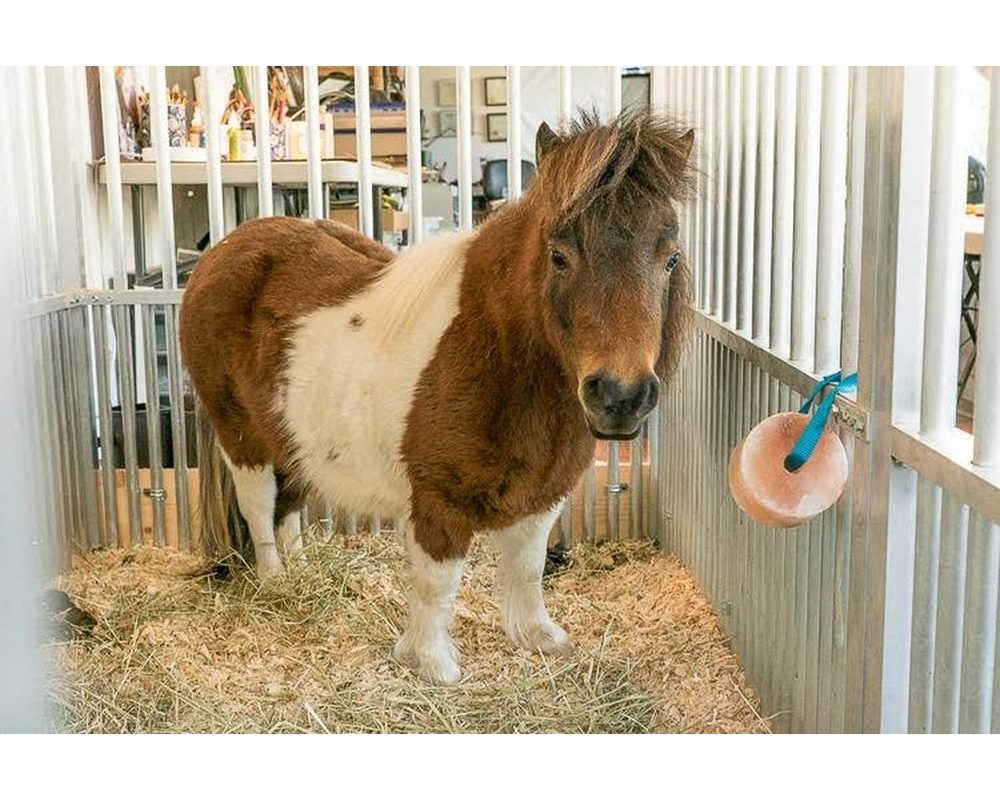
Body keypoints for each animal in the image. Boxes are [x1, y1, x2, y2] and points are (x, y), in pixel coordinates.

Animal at [180, 111, 692, 680]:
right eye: (559, 256)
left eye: (671, 260)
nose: (620, 396)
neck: (498, 358)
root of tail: (220, 252)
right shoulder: (437, 502)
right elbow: (436, 583)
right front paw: (431, 662)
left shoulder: (545, 493)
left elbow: (528, 568)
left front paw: (538, 638)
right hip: (242, 438)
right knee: (257, 507)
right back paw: (275, 583)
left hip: (291, 440)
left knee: (287, 508)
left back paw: (302, 575)